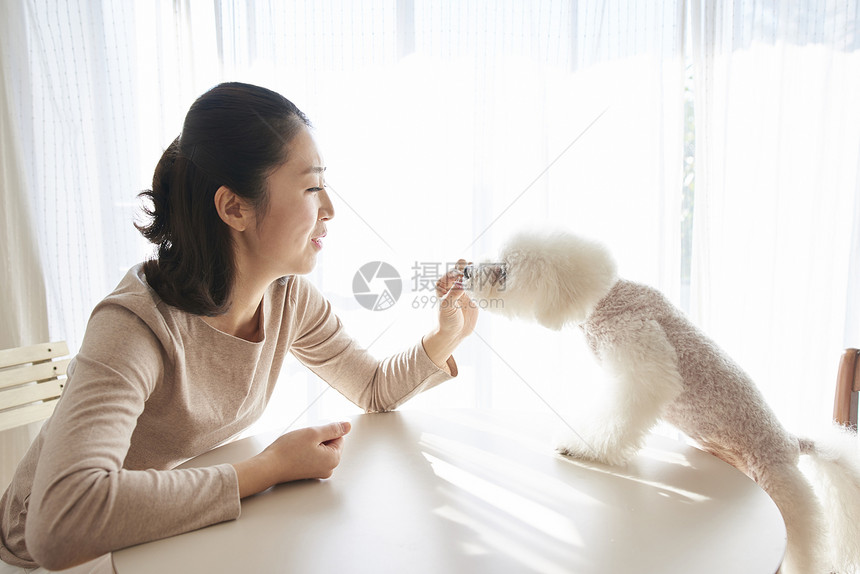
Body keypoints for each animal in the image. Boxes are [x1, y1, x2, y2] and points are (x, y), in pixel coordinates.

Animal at [466, 230, 860, 574]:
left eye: (504, 270)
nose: (467, 270)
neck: (606, 300)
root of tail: (793, 443)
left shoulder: (642, 364)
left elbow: (618, 415)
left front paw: (582, 447)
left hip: (780, 485)